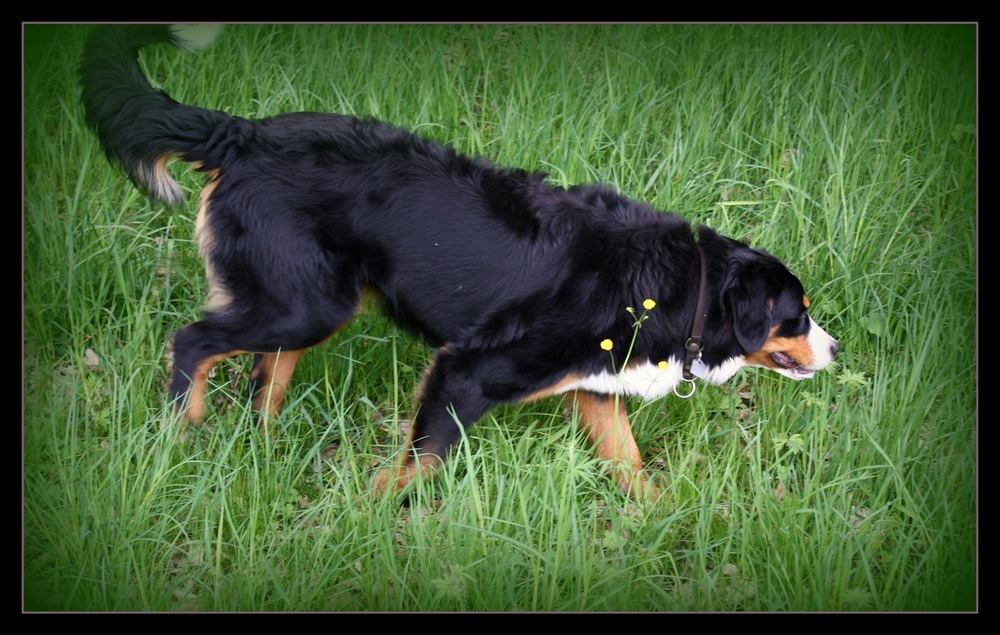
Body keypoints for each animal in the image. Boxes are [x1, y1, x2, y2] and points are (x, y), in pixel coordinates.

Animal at [82, 24, 840, 500]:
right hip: (303, 304)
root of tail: (241, 133)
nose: (836, 348)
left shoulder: (594, 385)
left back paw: (260, 446)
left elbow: (630, 465)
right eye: (796, 315)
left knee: (263, 380)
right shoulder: (468, 370)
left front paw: (661, 527)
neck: (678, 285)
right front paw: (365, 514)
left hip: (309, 300)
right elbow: (418, 464)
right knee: (193, 341)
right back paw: (182, 431)